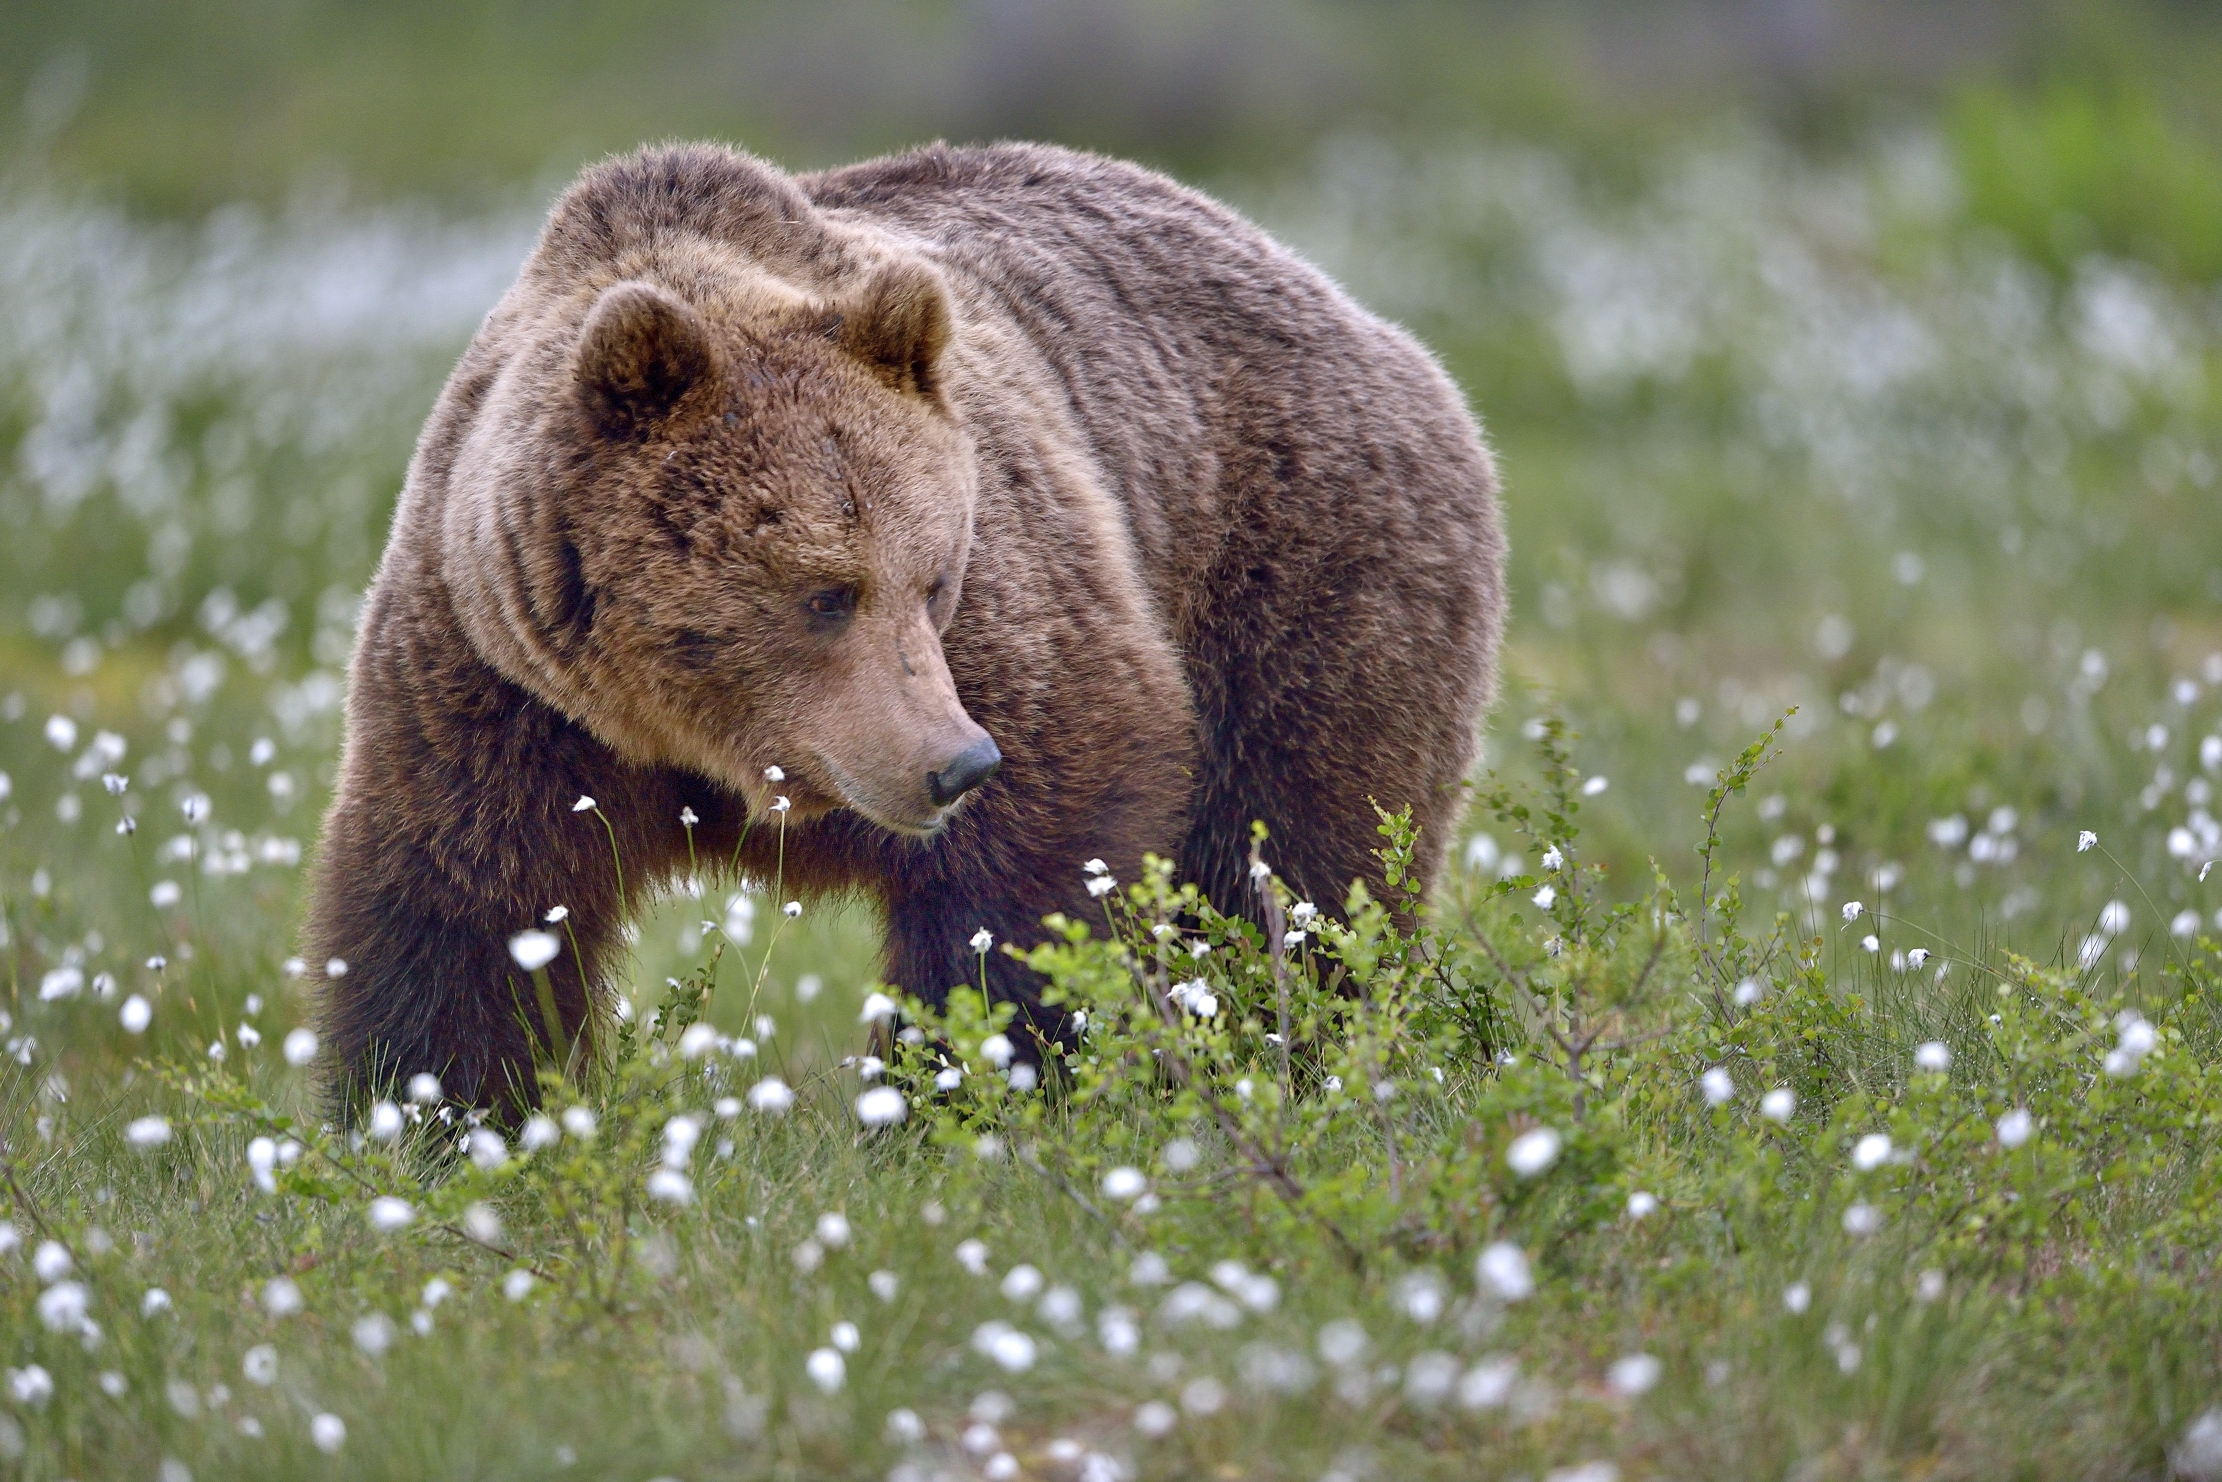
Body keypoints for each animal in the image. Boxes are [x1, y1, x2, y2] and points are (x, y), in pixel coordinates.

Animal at [306, 140, 1505, 1111]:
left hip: (1301, 574)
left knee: (1294, 865)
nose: (955, 763)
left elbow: (1041, 852)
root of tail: (1356, 312)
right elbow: (466, 908)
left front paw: (970, 1085)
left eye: (932, 578)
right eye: (825, 592)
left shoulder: (1014, 612)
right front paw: (448, 1120)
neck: (707, 744)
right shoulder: (502, 681)